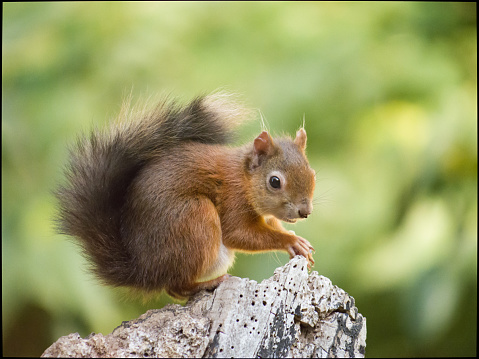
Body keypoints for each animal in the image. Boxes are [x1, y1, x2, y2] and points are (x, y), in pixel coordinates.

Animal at [55, 93, 316, 298]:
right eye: (275, 182)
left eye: (312, 172)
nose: (305, 212)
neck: (244, 178)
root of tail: (143, 270)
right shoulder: (232, 200)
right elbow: (238, 234)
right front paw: (289, 241)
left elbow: (271, 224)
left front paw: (297, 240)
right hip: (194, 218)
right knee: (176, 287)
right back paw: (209, 282)